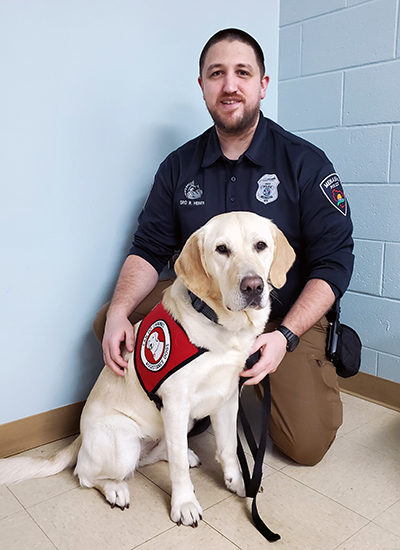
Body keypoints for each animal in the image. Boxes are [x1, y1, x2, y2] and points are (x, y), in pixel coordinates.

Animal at [0, 212, 294, 532]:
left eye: (260, 245)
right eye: (222, 249)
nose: (253, 286)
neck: (219, 324)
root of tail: (80, 435)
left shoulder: (226, 398)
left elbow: (228, 448)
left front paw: (240, 483)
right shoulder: (175, 404)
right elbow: (177, 469)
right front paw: (184, 504)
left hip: (179, 425)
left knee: (155, 455)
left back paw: (184, 455)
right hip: (124, 442)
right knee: (86, 473)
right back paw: (115, 489)